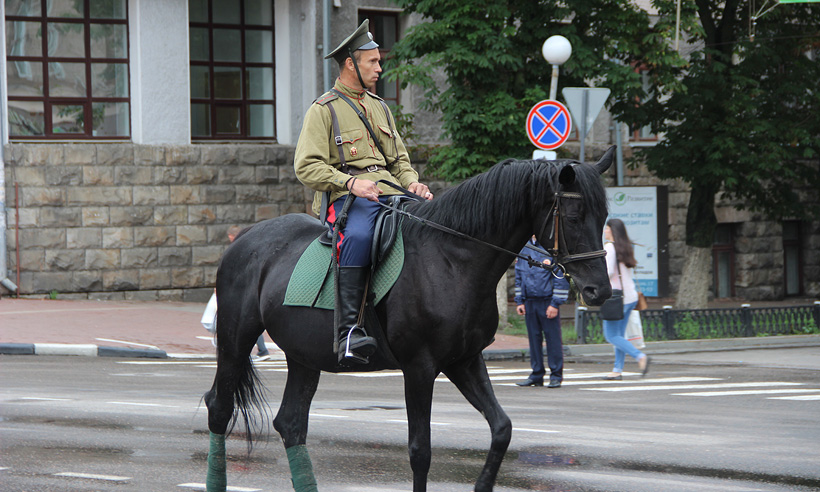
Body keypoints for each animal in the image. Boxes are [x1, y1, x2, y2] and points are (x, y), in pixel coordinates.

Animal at [204, 147, 615, 492]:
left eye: (605, 217)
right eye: (574, 216)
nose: (600, 291)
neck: (452, 259)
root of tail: (244, 237)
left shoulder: (465, 361)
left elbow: (502, 429)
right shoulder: (420, 368)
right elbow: (421, 451)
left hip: (305, 355)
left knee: (290, 423)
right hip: (236, 340)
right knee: (220, 408)